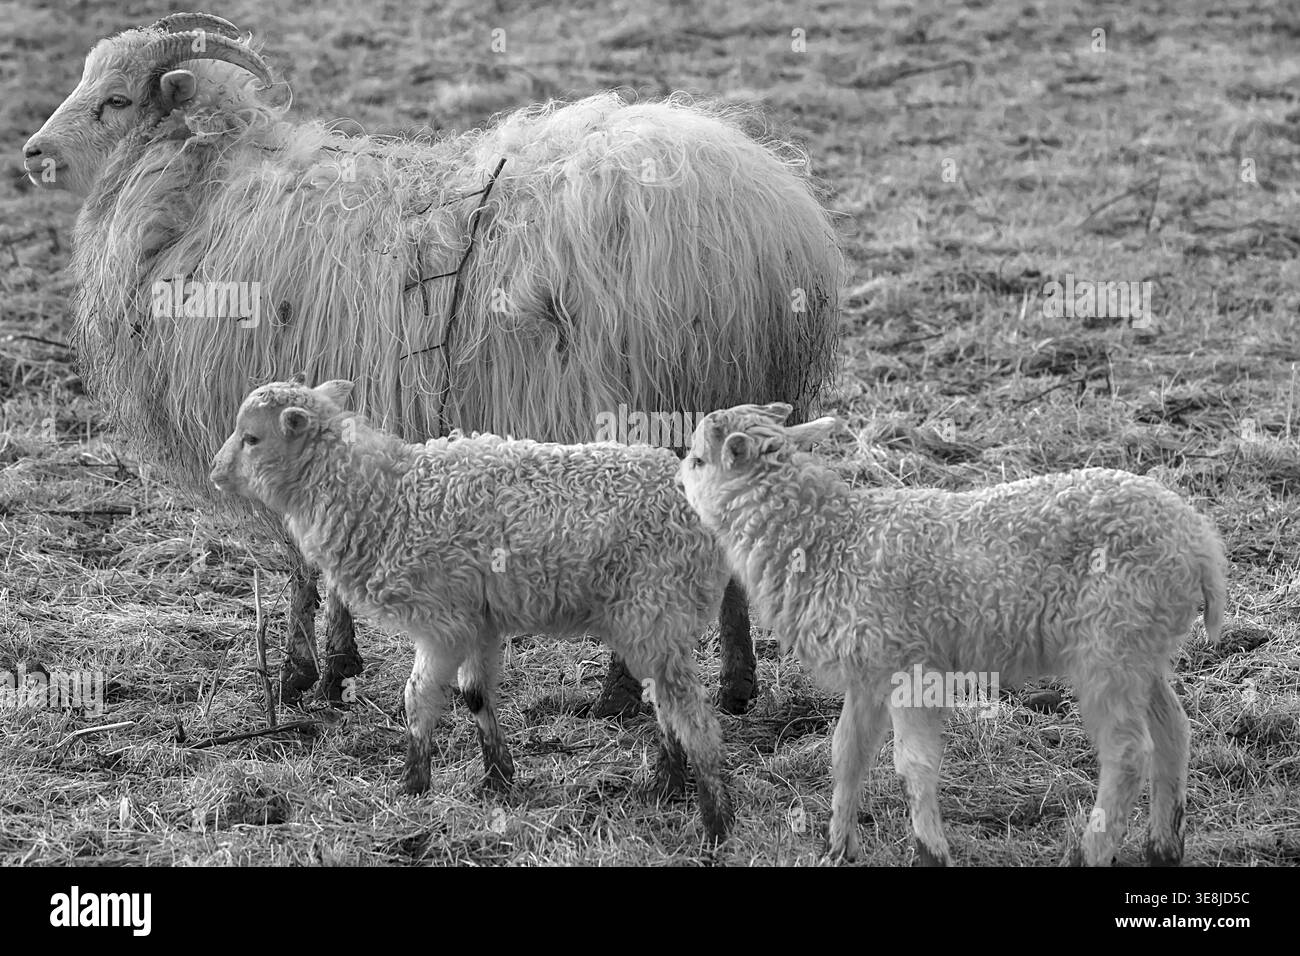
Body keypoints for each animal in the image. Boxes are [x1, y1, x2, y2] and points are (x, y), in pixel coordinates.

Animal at [21, 12, 840, 715]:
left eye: (117, 100)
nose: (31, 154)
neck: (202, 191)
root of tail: (776, 220)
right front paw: (336, 668)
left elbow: (303, 560)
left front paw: (300, 674)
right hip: (723, 397)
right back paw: (735, 687)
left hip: (646, 398)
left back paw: (617, 694)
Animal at [209, 378, 735, 840]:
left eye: (252, 438)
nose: (214, 473)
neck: (384, 497)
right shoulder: (478, 620)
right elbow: (475, 694)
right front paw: (497, 779)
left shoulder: (441, 621)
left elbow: (418, 696)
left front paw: (413, 784)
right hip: (653, 621)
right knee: (667, 703)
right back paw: (666, 786)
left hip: (655, 608)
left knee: (692, 713)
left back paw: (715, 821)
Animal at [679, 402, 1228, 866]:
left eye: (698, 458)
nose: (676, 475)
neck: (831, 539)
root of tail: (1200, 540)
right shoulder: (869, 671)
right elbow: (847, 755)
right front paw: (838, 847)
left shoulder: (910, 667)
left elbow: (913, 764)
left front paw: (930, 852)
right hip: (1141, 648)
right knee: (1174, 731)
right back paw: (1164, 847)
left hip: (1110, 646)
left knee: (1128, 753)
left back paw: (1091, 852)